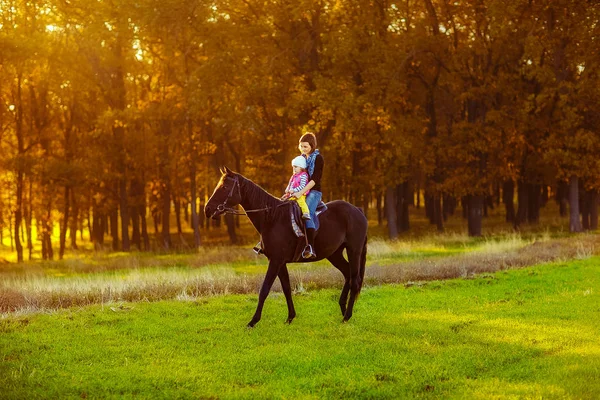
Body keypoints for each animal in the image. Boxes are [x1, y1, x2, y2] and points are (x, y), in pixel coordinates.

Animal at [204, 167, 368, 326]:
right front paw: (290, 318)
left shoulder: (275, 261)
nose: (207, 209)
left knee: (355, 280)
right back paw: (343, 309)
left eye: (224, 187)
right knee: (347, 274)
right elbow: (286, 288)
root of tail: (357, 210)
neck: (272, 217)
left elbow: (264, 289)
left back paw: (346, 316)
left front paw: (253, 321)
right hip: (334, 254)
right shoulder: (280, 262)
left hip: (354, 250)